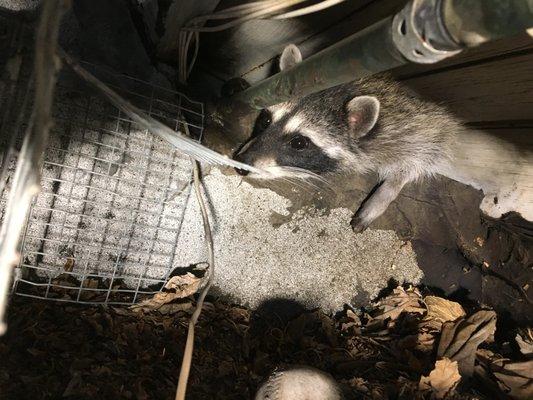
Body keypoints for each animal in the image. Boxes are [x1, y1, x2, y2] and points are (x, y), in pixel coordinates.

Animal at [235, 43, 460, 231]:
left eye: (299, 142)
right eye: (266, 120)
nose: (241, 164)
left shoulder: (415, 126)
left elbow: (423, 154)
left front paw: (386, 192)